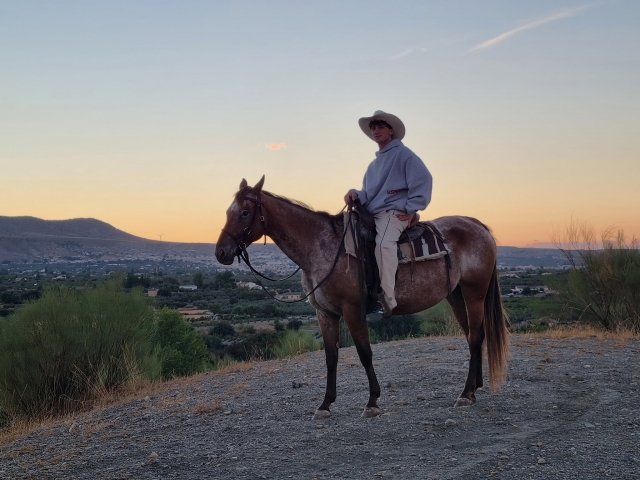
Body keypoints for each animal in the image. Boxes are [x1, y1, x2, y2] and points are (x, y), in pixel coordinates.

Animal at [215, 176, 509, 419]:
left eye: (244, 212)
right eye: (228, 212)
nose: (221, 252)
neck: (322, 248)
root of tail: (478, 225)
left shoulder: (352, 310)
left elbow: (364, 352)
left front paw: (372, 402)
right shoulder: (325, 314)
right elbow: (331, 357)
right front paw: (325, 404)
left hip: (474, 292)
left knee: (474, 336)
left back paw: (465, 394)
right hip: (456, 296)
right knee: (474, 335)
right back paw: (474, 387)